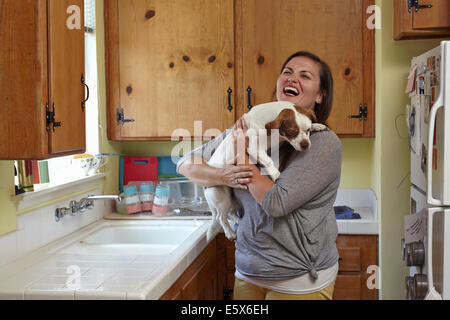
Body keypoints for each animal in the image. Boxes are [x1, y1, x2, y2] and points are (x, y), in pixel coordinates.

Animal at [205, 100, 326, 240]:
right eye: (292, 132)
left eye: (307, 130)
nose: (305, 145)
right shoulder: (255, 148)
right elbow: (268, 160)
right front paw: (275, 174)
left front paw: (317, 125)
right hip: (221, 195)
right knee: (220, 217)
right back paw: (230, 233)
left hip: (230, 197)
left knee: (229, 213)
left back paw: (238, 221)